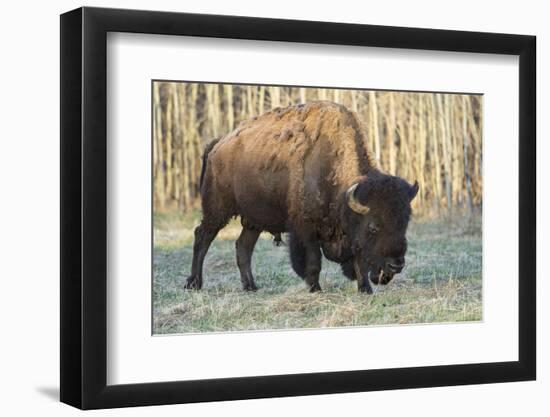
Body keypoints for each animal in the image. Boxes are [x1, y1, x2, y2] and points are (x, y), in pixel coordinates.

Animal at [184, 100, 418, 292]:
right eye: (373, 227)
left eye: (404, 224)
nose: (396, 265)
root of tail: (217, 144)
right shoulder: (306, 228)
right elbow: (313, 262)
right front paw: (315, 289)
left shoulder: (349, 236)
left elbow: (359, 260)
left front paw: (365, 289)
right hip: (217, 209)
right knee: (202, 236)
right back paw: (194, 283)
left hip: (253, 220)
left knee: (243, 246)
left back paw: (250, 286)